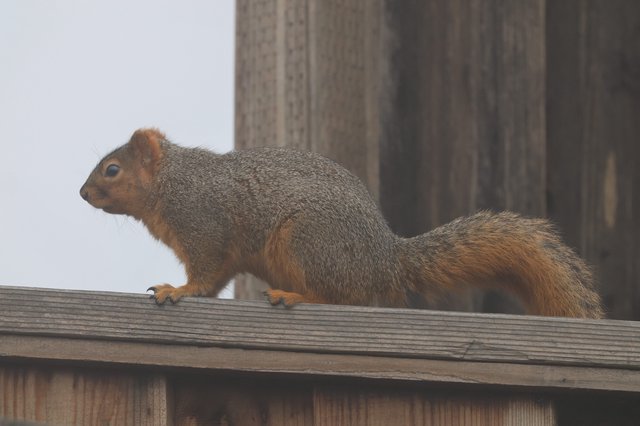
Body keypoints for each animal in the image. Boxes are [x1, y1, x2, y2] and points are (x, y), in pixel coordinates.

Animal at [80, 128, 604, 319]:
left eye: (112, 170)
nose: (82, 193)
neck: (173, 183)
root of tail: (387, 259)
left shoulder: (204, 223)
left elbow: (206, 274)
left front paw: (177, 290)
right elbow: (218, 280)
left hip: (308, 241)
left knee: (341, 296)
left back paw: (294, 296)